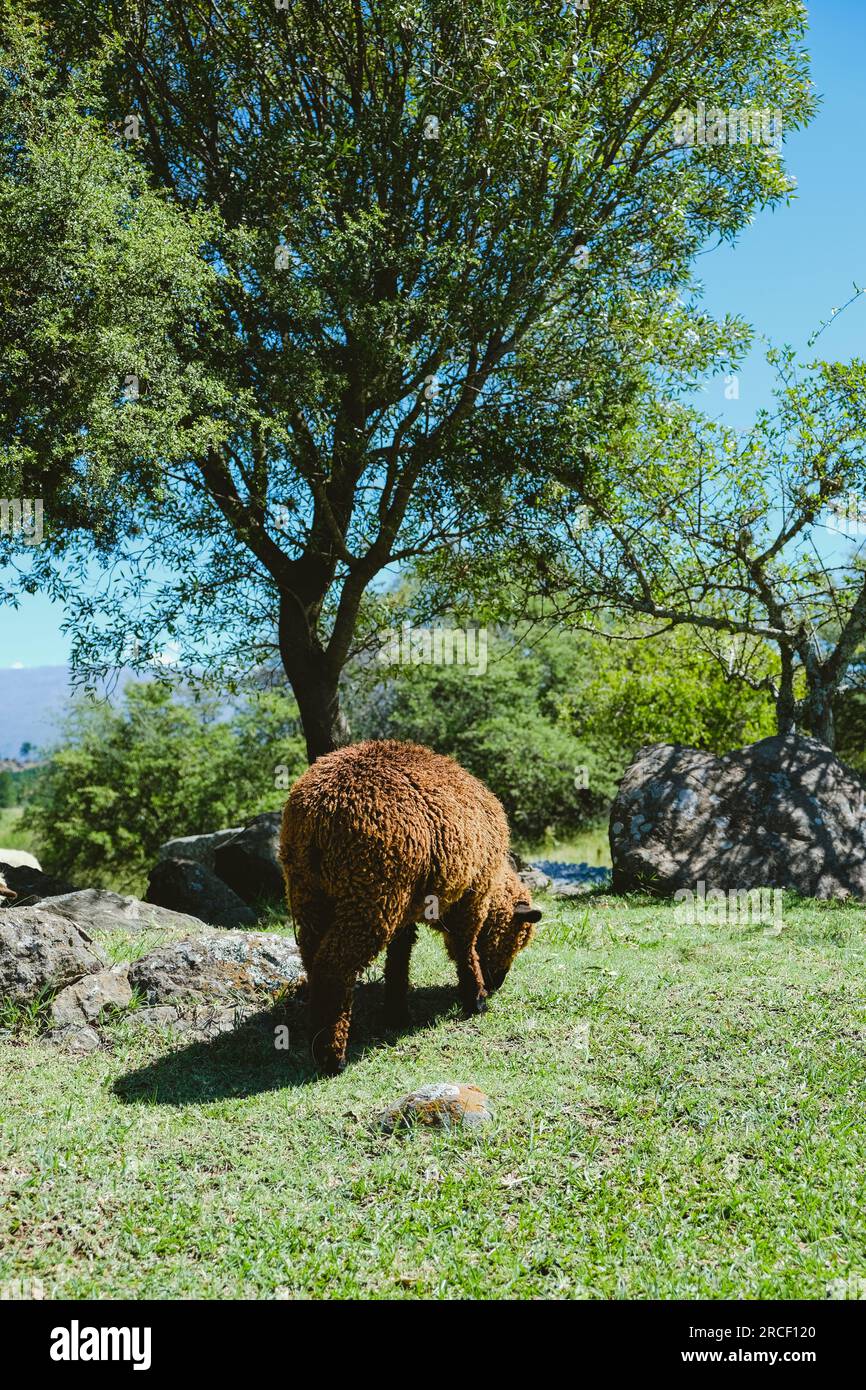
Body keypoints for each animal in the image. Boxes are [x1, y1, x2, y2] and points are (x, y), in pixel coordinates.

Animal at [280, 739, 542, 1073]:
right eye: (516, 940)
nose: (498, 983)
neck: (494, 885)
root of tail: (317, 813)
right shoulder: (471, 899)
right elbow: (465, 947)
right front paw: (476, 1000)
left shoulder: (406, 910)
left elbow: (399, 956)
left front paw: (396, 1014)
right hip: (368, 894)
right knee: (333, 966)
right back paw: (332, 1058)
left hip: (311, 895)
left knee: (313, 960)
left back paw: (323, 1037)